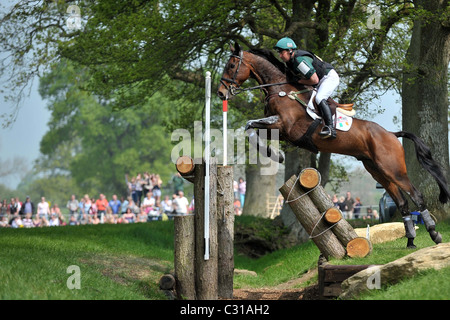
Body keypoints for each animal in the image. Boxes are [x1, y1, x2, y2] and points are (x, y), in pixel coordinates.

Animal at [216, 42, 448, 249]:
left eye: (231, 65)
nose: (220, 93)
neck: (280, 89)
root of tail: (391, 134)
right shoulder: (277, 129)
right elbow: (250, 128)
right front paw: (275, 154)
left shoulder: (285, 126)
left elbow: (250, 125)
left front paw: (276, 155)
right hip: (377, 171)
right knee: (402, 203)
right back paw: (410, 241)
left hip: (393, 169)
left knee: (416, 195)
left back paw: (434, 233)